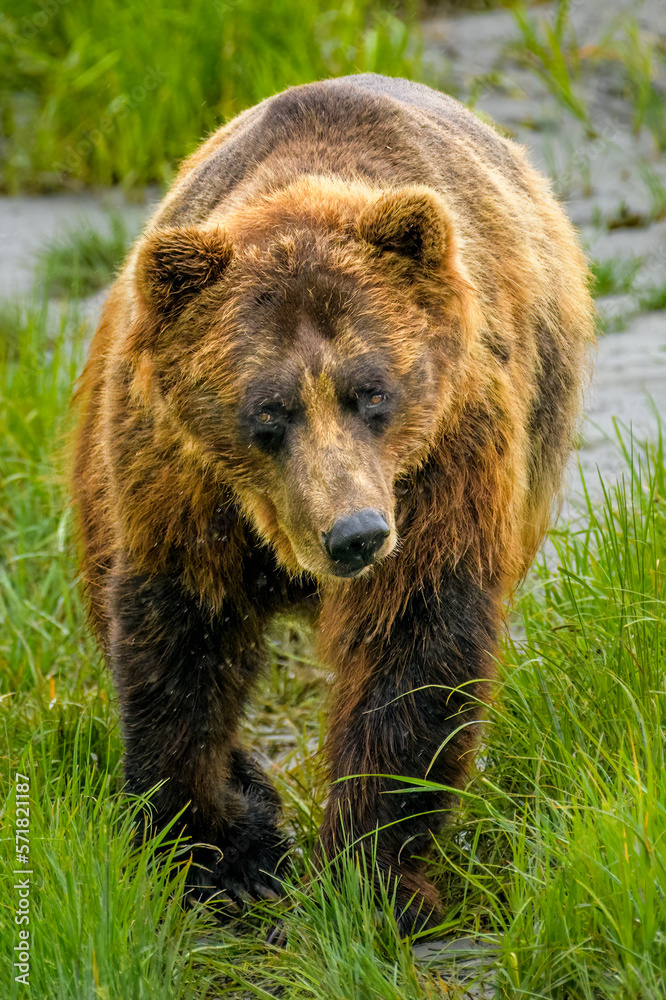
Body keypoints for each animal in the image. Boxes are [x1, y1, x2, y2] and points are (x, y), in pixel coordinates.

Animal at [72, 74, 595, 935]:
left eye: (371, 391)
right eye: (268, 411)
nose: (354, 535)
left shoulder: (445, 455)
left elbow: (414, 641)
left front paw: (371, 877)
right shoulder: (181, 481)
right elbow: (179, 639)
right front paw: (218, 856)